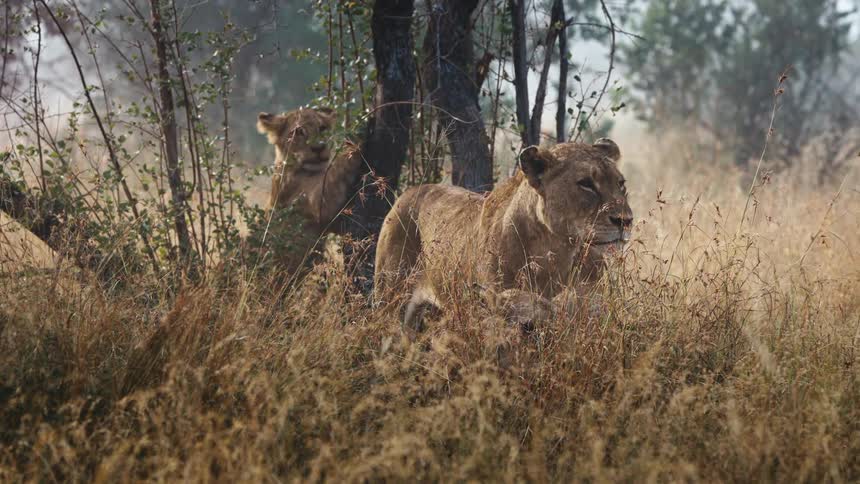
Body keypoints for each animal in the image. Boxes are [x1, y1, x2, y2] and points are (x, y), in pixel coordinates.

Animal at [256, 107, 364, 271]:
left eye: (322, 128)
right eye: (298, 131)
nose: (319, 147)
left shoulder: (333, 224)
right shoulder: (319, 203)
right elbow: (336, 169)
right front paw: (357, 140)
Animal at [374, 139, 633, 331]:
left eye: (621, 183)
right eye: (585, 184)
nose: (626, 220)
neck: (556, 251)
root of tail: (410, 191)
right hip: (391, 300)